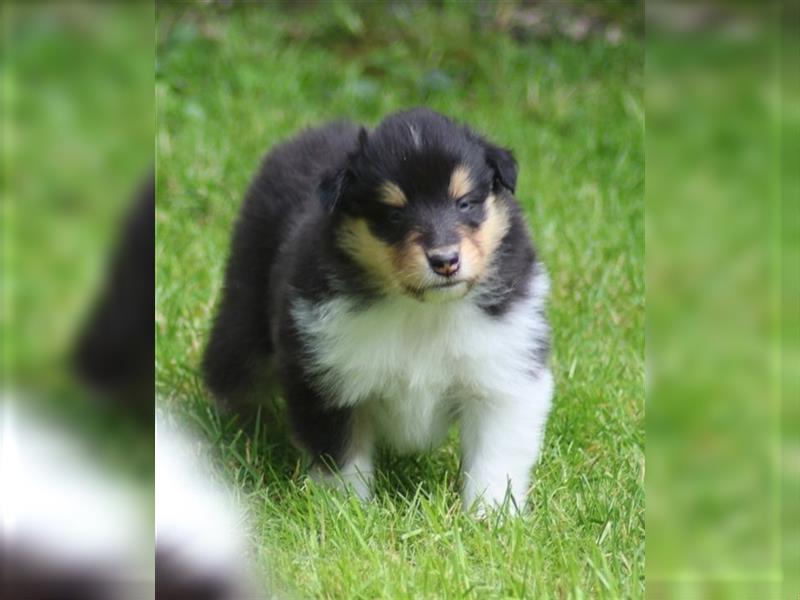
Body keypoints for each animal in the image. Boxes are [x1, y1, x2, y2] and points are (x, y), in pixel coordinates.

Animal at [203, 108, 552, 510]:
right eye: (393, 214)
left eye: (465, 202)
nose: (445, 261)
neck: (421, 311)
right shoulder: (325, 374)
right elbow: (340, 457)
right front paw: (346, 511)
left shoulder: (505, 371)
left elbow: (494, 458)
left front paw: (490, 515)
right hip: (245, 311)